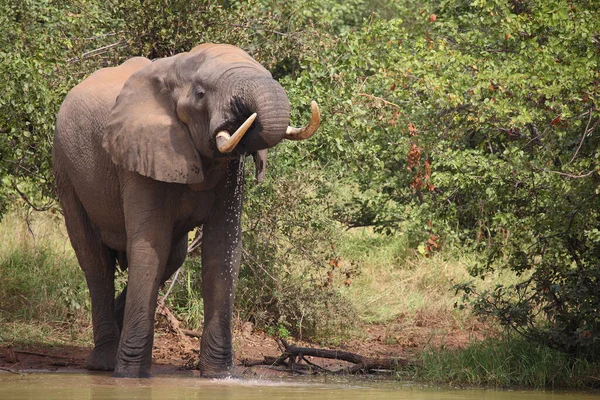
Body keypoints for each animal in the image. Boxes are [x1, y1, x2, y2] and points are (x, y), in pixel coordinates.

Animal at [52, 43, 318, 378]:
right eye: (201, 93)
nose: (243, 117)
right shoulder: (140, 153)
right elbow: (150, 246)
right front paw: (130, 377)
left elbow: (222, 248)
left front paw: (221, 376)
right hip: (64, 168)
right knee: (94, 260)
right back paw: (103, 363)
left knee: (173, 255)